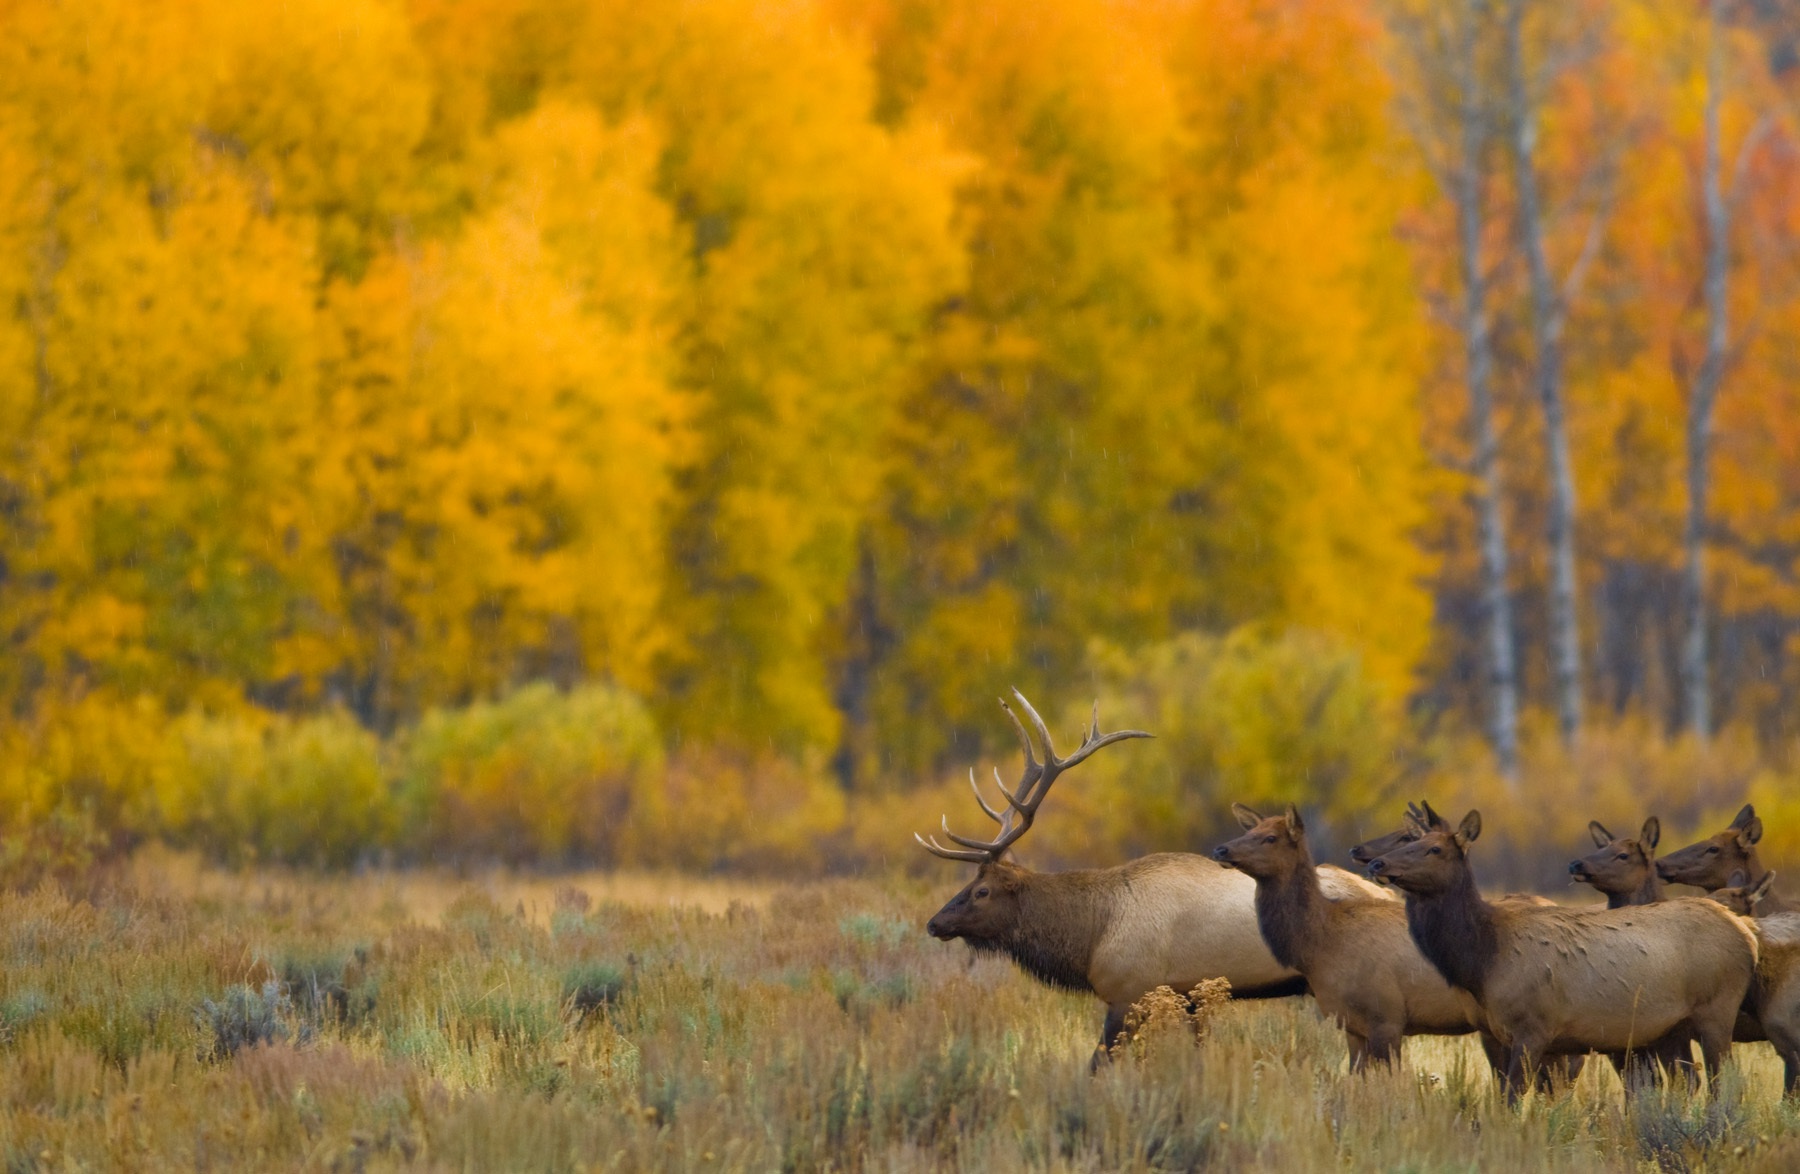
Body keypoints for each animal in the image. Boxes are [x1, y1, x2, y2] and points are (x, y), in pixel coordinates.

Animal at [921, 684, 1396, 1051]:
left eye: (982, 890)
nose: (934, 922)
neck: (1092, 932)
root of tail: (1386, 892)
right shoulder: (1187, 998)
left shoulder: (1129, 992)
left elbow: (1099, 1063)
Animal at [1360, 806, 1756, 1101]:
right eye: (1413, 840)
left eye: (1434, 849)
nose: (1377, 864)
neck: (1483, 960)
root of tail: (1747, 935)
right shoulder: (1510, 1035)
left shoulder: (1532, 1027)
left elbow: (1514, 1099)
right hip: (1671, 1029)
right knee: (1689, 1081)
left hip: (1717, 1011)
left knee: (1724, 1083)